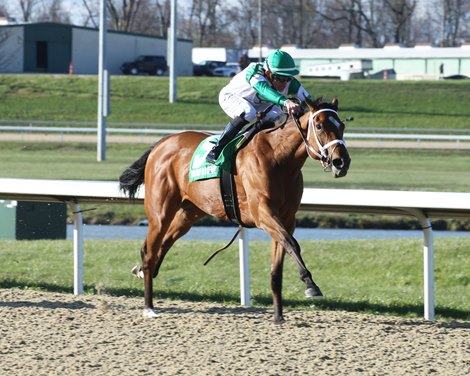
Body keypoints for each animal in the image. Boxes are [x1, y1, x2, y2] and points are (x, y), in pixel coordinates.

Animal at [119, 97, 350, 324]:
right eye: (319, 126)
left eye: (342, 125)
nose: (341, 162)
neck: (278, 158)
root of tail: (161, 144)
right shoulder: (263, 214)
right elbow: (292, 244)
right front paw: (310, 284)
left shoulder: (287, 219)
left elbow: (279, 263)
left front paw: (278, 315)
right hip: (160, 211)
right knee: (149, 250)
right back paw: (148, 306)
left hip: (189, 213)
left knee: (164, 243)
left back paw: (142, 272)